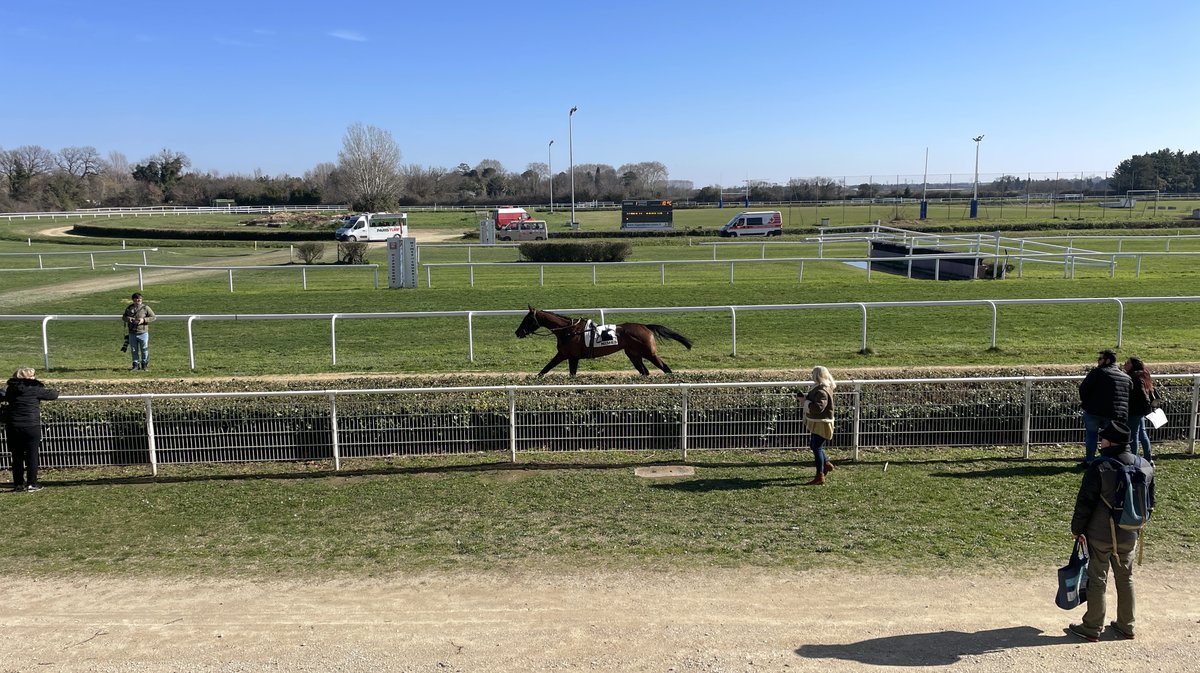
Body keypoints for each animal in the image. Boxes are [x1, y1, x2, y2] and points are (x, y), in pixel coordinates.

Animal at [513, 305, 696, 374]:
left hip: (649, 353)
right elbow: (546, 371)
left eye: (527, 319)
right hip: (634, 354)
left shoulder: (568, 356)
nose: (517, 332)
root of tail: (645, 326)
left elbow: (550, 370)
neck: (569, 331)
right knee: (645, 372)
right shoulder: (567, 356)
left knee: (666, 368)